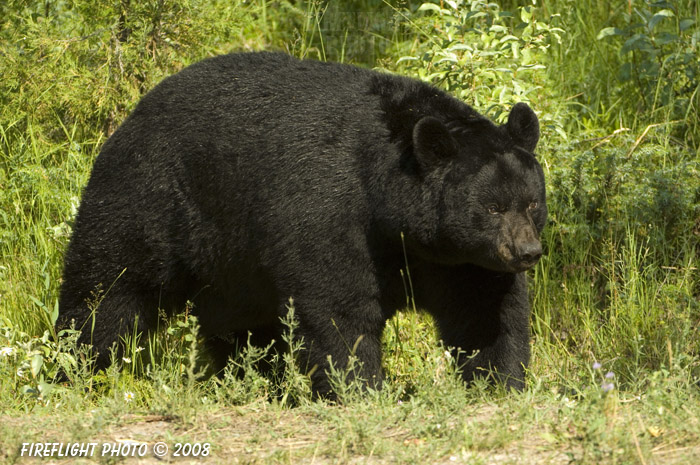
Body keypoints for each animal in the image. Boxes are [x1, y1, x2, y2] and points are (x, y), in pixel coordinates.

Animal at [58, 53, 548, 396]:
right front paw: (361, 388)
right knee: (111, 285)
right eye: (492, 207)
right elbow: (338, 305)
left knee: (240, 321)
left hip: (233, 256)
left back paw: (253, 376)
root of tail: (135, 111)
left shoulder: (461, 260)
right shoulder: (334, 209)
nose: (527, 252)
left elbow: (483, 310)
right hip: (153, 194)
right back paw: (82, 364)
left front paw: (500, 381)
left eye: (532, 203)